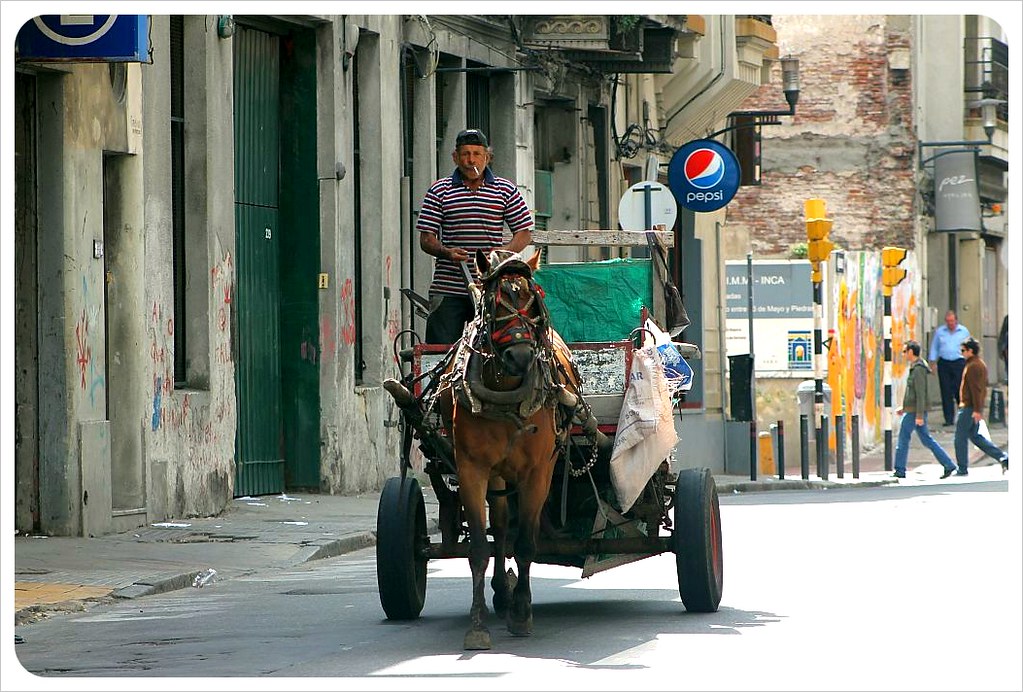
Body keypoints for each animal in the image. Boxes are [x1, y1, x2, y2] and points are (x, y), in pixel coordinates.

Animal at [435, 248, 597, 646]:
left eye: (532, 302)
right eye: (495, 303)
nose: (521, 357)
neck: (506, 395)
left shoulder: (537, 472)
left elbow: (525, 543)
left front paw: (522, 613)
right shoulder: (472, 469)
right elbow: (480, 547)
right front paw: (477, 624)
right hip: (496, 474)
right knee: (500, 524)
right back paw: (499, 592)